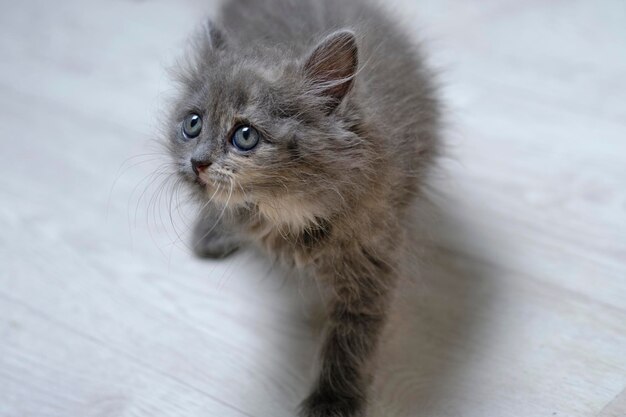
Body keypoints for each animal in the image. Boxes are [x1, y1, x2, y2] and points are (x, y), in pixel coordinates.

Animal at [166, 0, 438, 414]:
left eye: (245, 135)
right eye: (192, 124)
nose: (197, 163)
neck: (282, 213)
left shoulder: (372, 256)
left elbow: (351, 336)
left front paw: (332, 400)